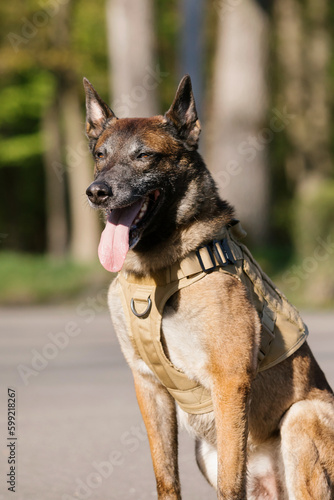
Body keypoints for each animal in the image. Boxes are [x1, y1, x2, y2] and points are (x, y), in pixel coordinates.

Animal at [83, 75, 334, 500]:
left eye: (144, 156)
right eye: (100, 155)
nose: (96, 192)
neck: (158, 270)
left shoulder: (229, 381)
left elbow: (230, 484)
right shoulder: (148, 386)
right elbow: (166, 477)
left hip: (301, 417)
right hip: (206, 451)